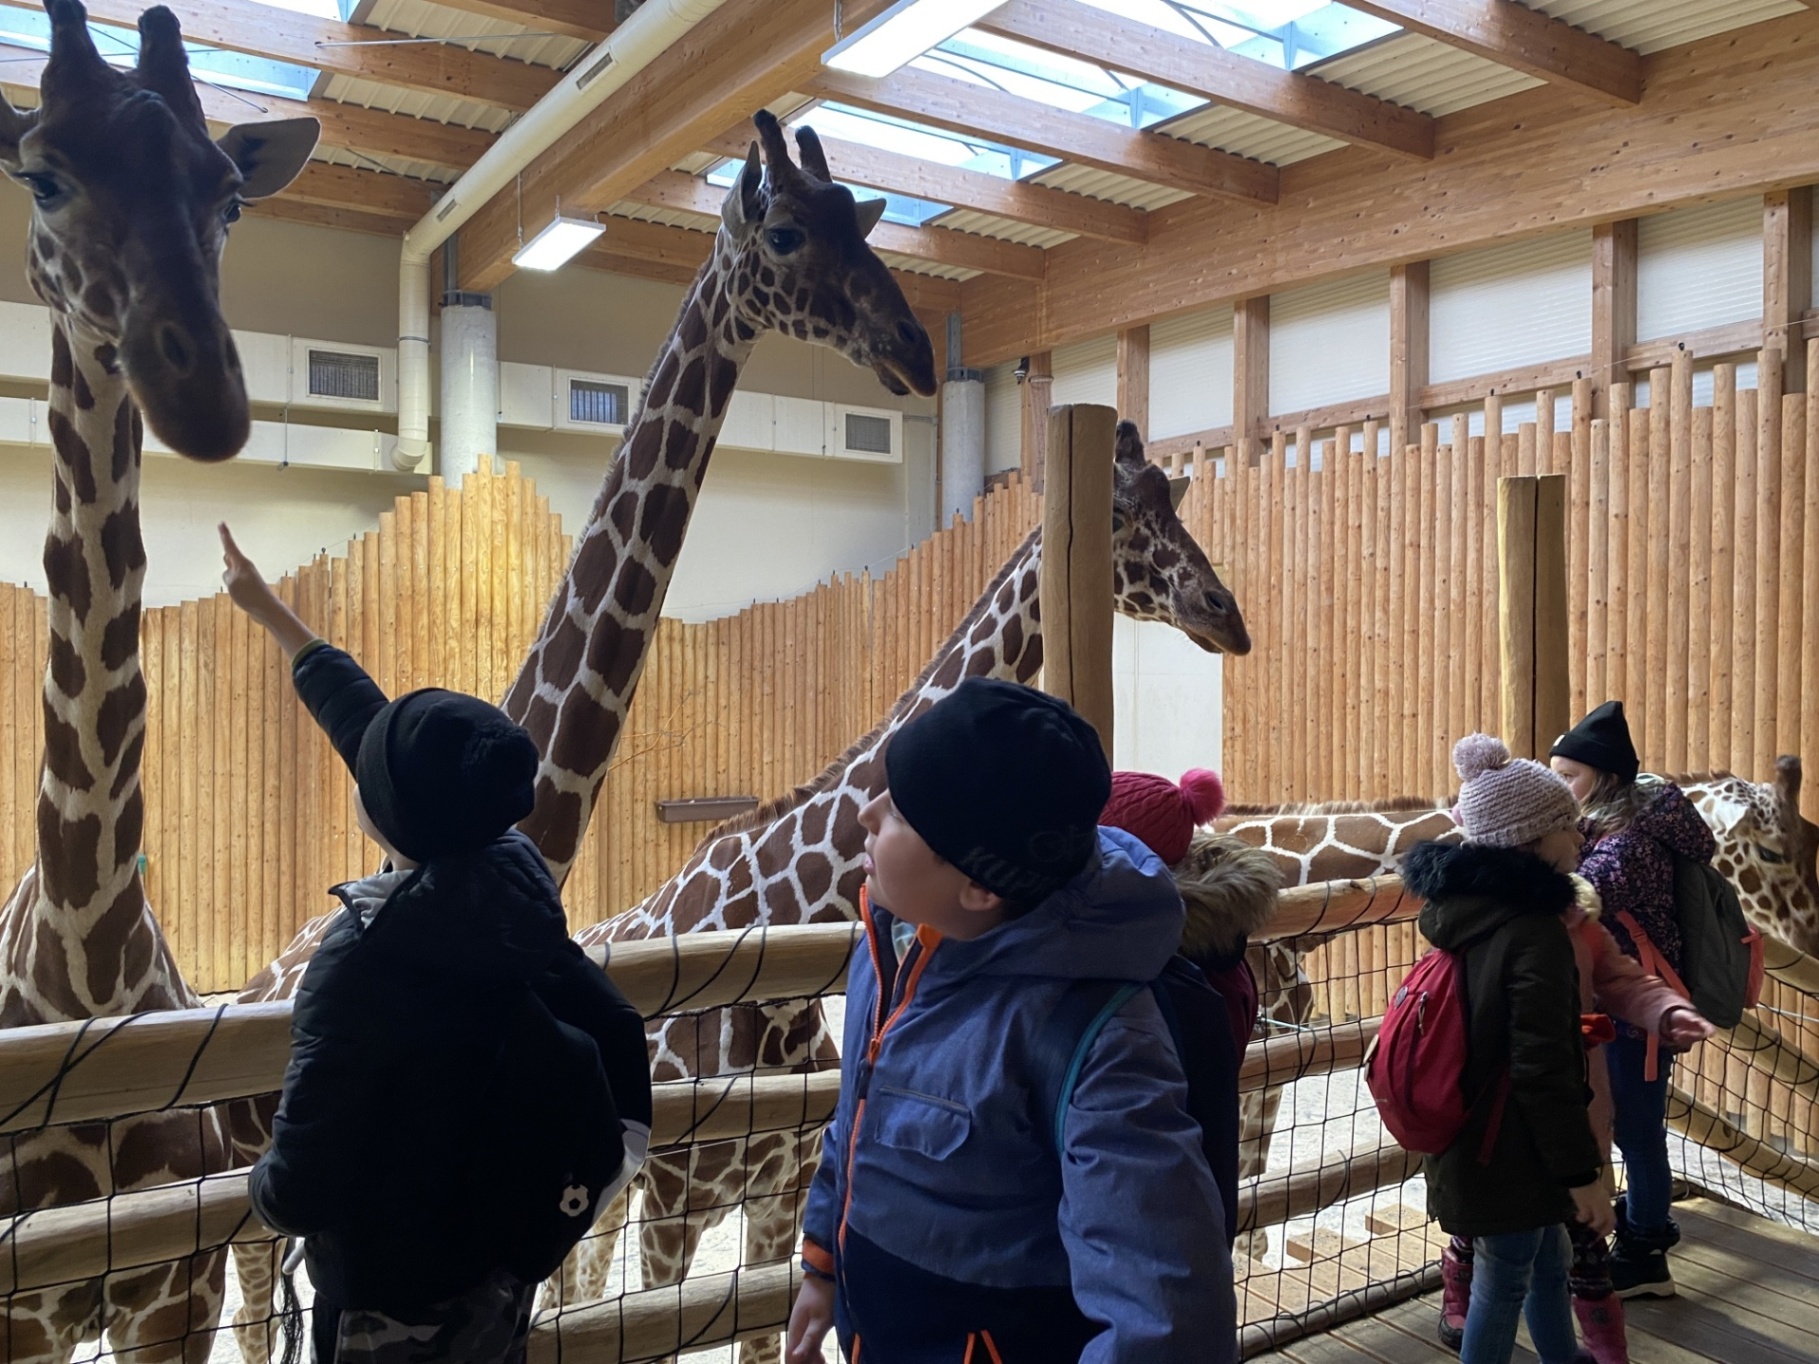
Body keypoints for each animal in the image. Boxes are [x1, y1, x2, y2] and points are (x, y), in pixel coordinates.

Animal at [569, 420, 1248, 1359]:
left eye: (1172, 500)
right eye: (1117, 512)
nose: (1226, 615)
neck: (765, 929)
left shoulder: (777, 1198)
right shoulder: (676, 1207)